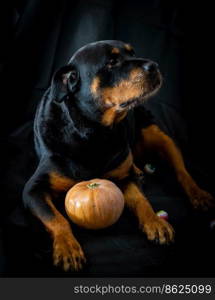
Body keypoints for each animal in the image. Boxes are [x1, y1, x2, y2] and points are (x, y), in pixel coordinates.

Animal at [22, 40, 214, 272]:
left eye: (132, 53)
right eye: (112, 62)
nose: (154, 65)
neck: (95, 133)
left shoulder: (124, 177)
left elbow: (140, 199)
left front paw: (155, 222)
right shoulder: (33, 190)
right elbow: (57, 219)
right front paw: (67, 247)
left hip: (157, 133)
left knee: (181, 171)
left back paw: (198, 194)